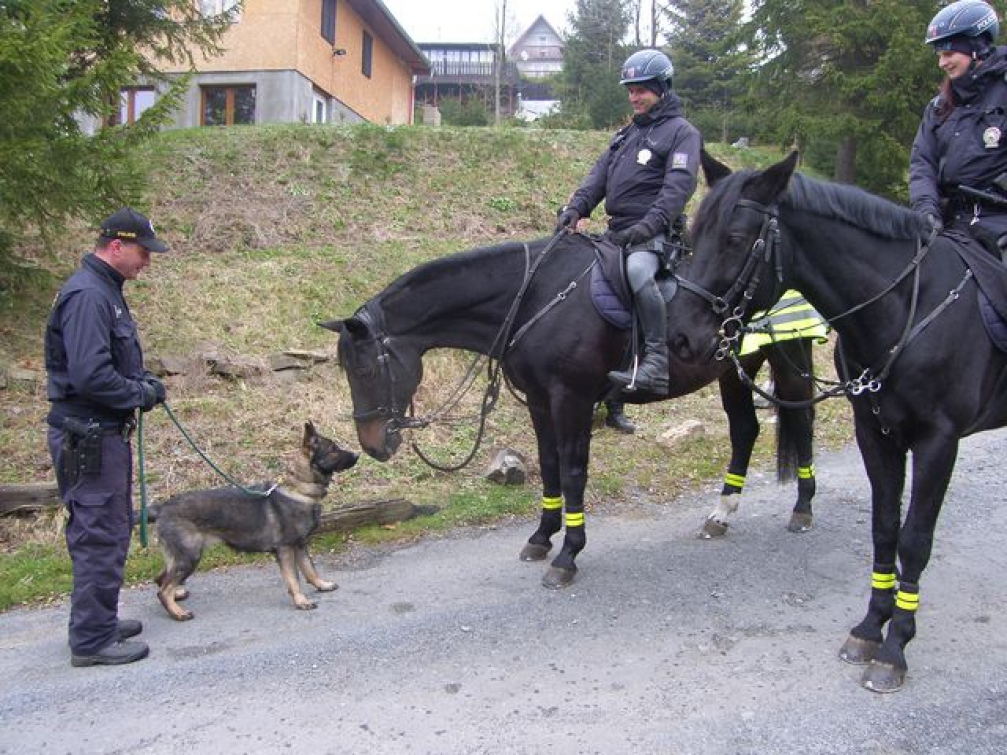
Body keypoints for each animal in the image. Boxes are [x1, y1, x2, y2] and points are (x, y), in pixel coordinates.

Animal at [147, 420, 356, 620]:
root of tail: (162, 508)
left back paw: (177, 596)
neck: (300, 490)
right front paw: (301, 601)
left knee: (160, 579)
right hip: (189, 557)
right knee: (163, 590)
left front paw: (322, 585)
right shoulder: (286, 550)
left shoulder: (300, 546)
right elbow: (294, 579)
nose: (357, 455)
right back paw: (178, 613)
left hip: (181, 557)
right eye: (333, 450)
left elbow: (310, 569)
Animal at [322, 233, 817, 587]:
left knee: (802, 423)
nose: (372, 445)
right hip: (737, 370)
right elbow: (549, 466)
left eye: (364, 368)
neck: (536, 299)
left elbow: (574, 471)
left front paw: (568, 554)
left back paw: (803, 508)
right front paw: (542, 537)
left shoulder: (571, 399)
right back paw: (721, 514)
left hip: (785, 360)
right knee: (745, 430)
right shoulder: (541, 401)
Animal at [668, 151, 1007, 696]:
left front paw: (895, 649)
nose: (679, 337)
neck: (905, 311)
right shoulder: (874, 433)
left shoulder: (938, 442)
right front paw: (870, 629)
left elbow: (914, 539)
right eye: (695, 233)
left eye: (736, 239)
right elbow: (885, 529)